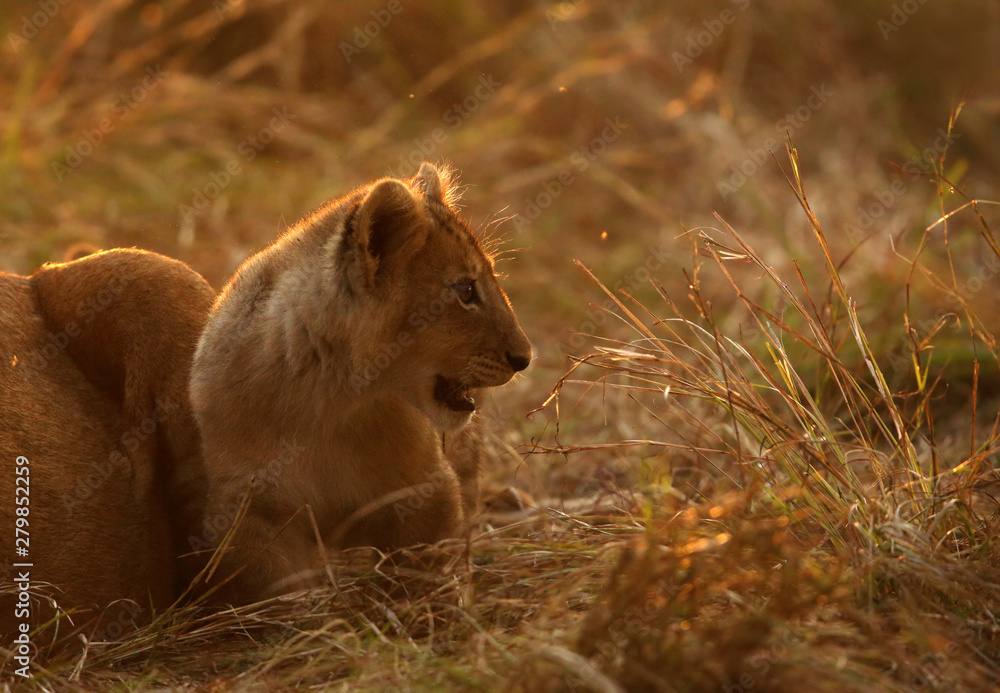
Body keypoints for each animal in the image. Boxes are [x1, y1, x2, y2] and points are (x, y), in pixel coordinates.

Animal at [190, 162, 532, 604]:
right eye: (466, 290)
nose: (525, 358)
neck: (332, 397)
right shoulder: (250, 509)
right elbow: (277, 589)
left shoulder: (423, 489)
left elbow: (420, 567)